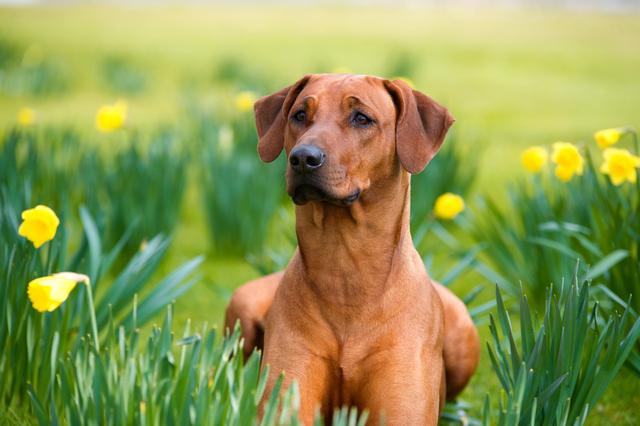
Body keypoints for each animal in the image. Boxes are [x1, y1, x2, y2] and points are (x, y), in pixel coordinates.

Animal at [225, 75, 480, 424]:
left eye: (362, 118)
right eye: (299, 115)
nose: (303, 158)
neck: (345, 269)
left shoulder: (402, 407)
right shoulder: (286, 395)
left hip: (462, 330)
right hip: (244, 304)